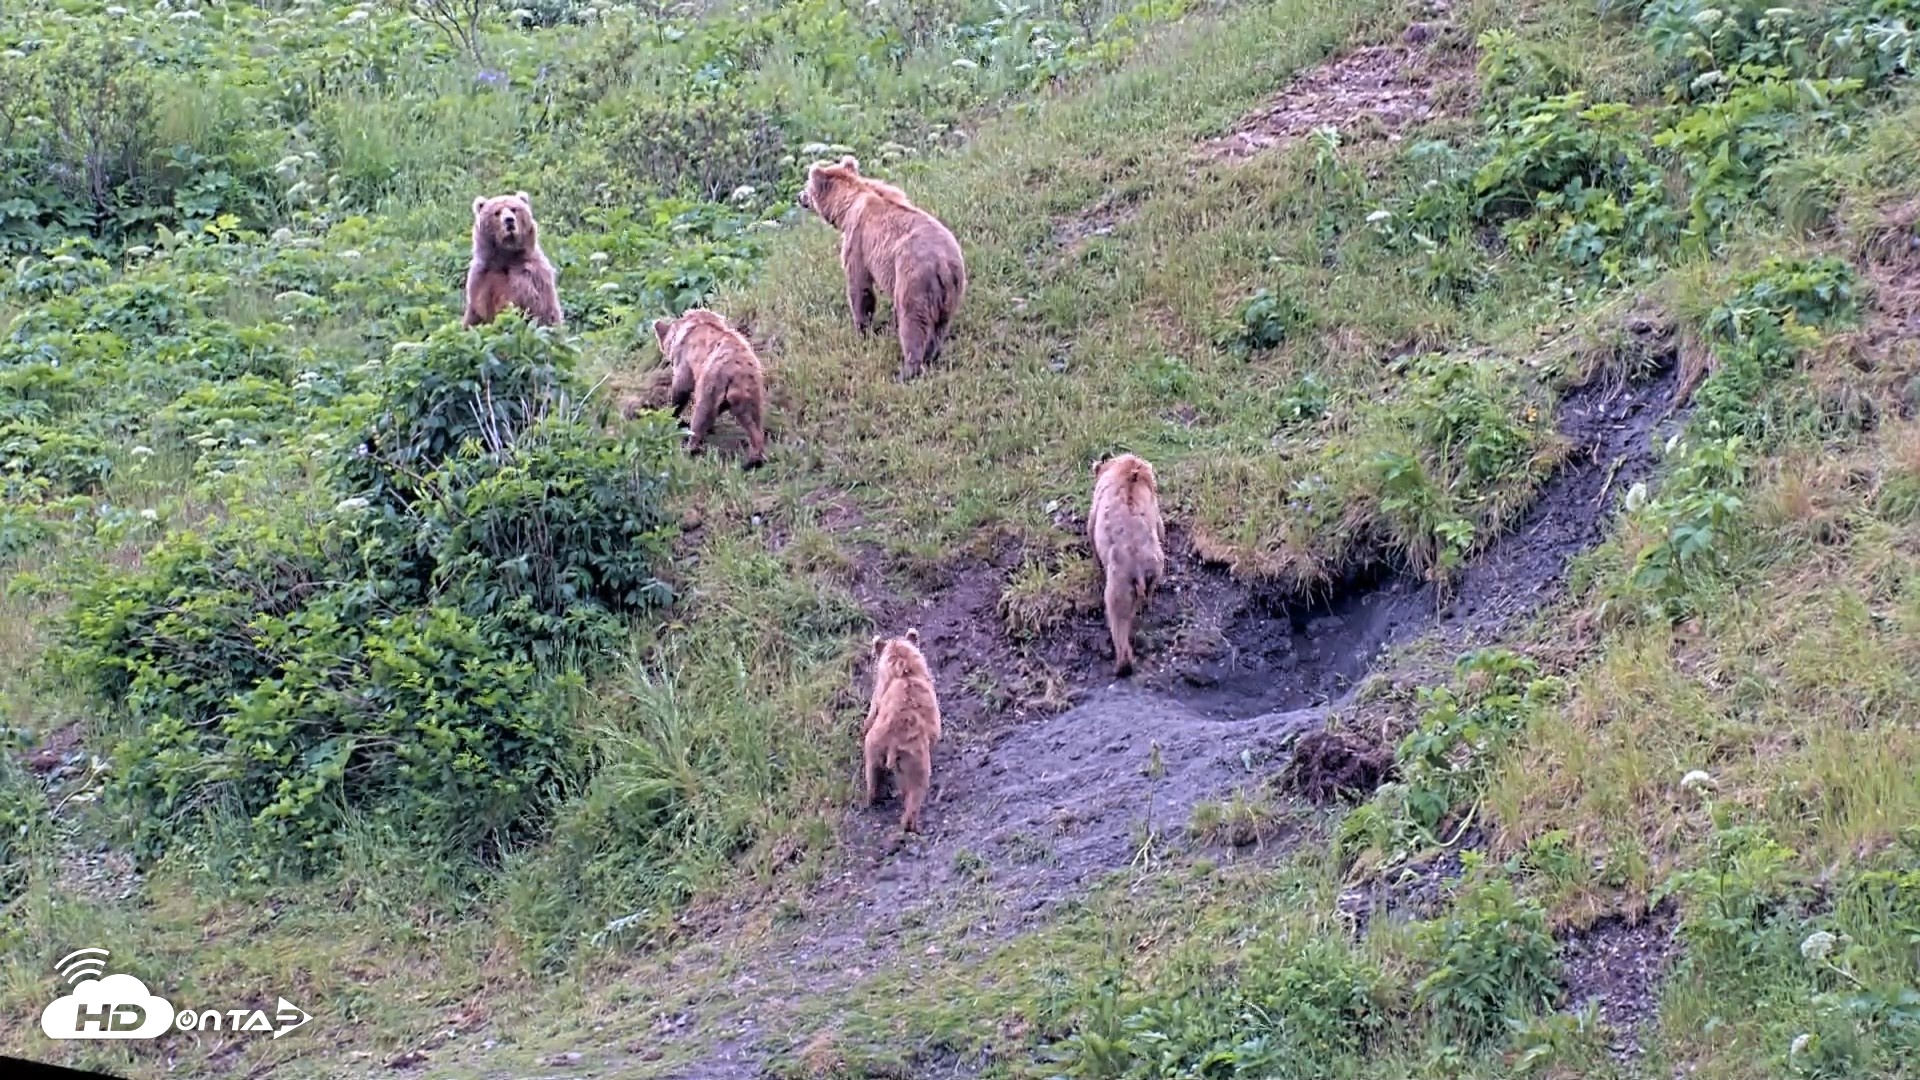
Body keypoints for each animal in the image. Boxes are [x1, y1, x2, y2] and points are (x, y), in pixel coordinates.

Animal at [463, 191, 563, 329]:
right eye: (497, 212)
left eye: (514, 209)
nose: (509, 220)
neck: (506, 257)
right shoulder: (481, 278)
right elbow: (476, 313)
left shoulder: (530, 277)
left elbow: (539, 309)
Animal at [652, 308, 769, 470]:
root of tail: (737, 371)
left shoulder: (685, 359)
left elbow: (681, 387)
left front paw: (673, 414)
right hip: (751, 389)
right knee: (754, 420)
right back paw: (754, 459)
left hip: (712, 381)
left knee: (702, 411)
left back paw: (690, 448)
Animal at [797, 155, 966, 381]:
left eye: (807, 185)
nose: (799, 196)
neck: (847, 205)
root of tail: (943, 264)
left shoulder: (858, 241)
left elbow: (860, 288)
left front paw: (862, 331)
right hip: (952, 290)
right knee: (940, 325)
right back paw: (932, 355)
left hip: (913, 279)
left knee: (913, 322)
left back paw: (907, 370)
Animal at [862, 628, 942, 834]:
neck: (904, 670)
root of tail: (893, 742)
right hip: (914, 758)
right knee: (916, 791)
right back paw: (911, 825)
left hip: (874, 745)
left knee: (872, 773)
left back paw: (874, 798)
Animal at [1088, 452, 1166, 678]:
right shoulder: (1153, 505)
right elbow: (1161, 526)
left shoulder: (1096, 507)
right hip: (1155, 565)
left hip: (1120, 581)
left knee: (1118, 617)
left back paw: (1122, 665)